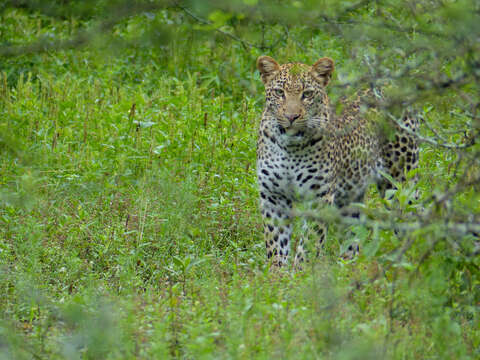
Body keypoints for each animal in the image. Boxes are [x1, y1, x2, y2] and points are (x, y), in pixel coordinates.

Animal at [256, 55, 418, 268]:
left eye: (307, 94)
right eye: (279, 92)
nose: (291, 117)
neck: (289, 147)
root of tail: (391, 85)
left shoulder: (318, 197)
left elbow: (308, 243)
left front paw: (301, 272)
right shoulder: (273, 197)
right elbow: (276, 242)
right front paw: (276, 273)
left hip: (400, 183)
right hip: (351, 196)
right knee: (353, 238)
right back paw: (347, 267)